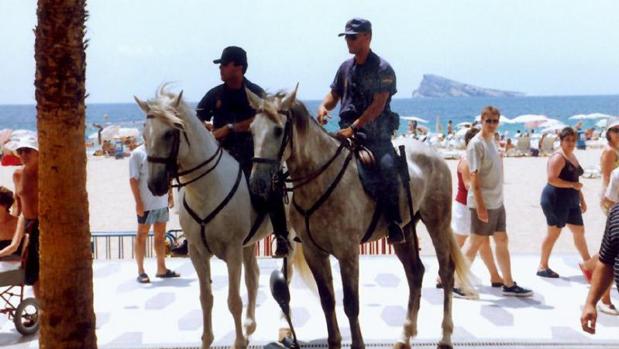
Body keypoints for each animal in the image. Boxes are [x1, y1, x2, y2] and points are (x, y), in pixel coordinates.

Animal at [137, 87, 282, 348]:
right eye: (144, 134)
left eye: (169, 133)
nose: (154, 185)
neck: (206, 190)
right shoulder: (198, 252)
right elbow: (206, 298)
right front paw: (208, 339)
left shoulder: (233, 251)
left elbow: (233, 301)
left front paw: (238, 342)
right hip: (248, 244)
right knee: (253, 277)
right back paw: (249, 326)